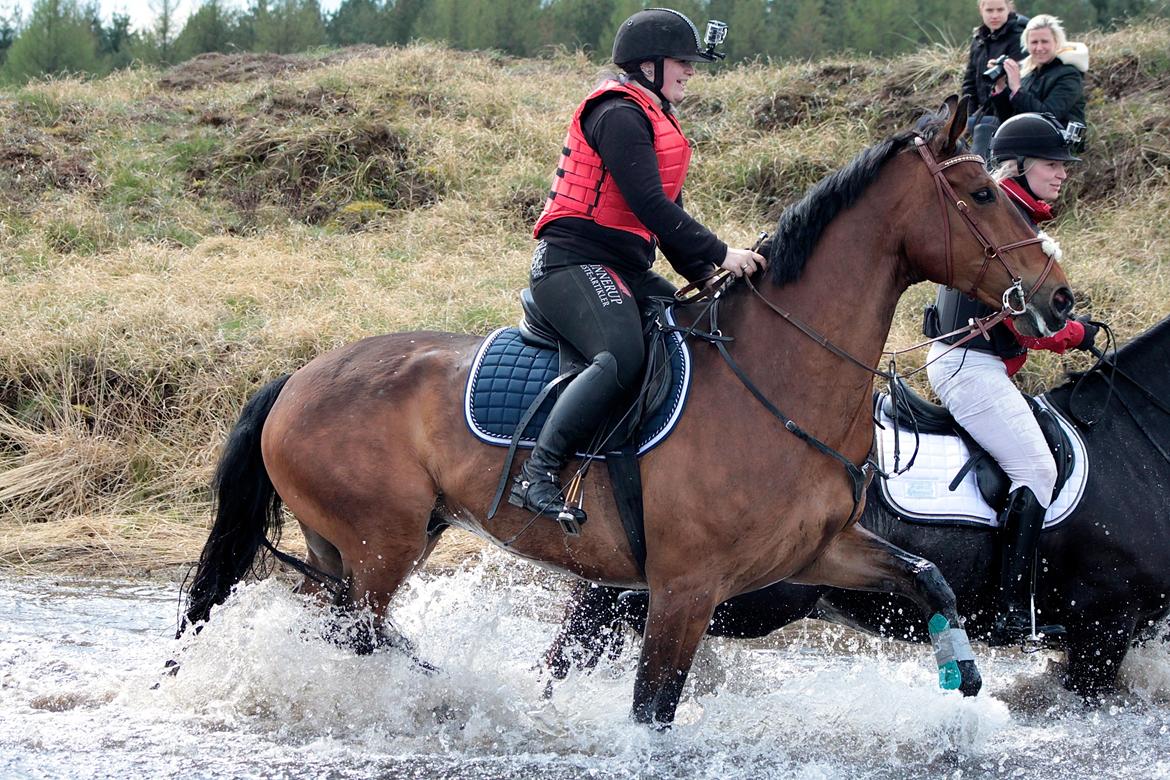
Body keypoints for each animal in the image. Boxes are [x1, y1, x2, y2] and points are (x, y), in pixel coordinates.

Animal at [177, 97, 1071, 725]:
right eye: (984, 194)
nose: (1060, 298)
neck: (781, 377)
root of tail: (296, 378)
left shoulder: (821, 552)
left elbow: (929, 578)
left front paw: (964, 674)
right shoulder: (684, 589)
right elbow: (653, 710)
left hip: (368, 539)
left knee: (336, 623)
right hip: (381, 542)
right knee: (354, 628)